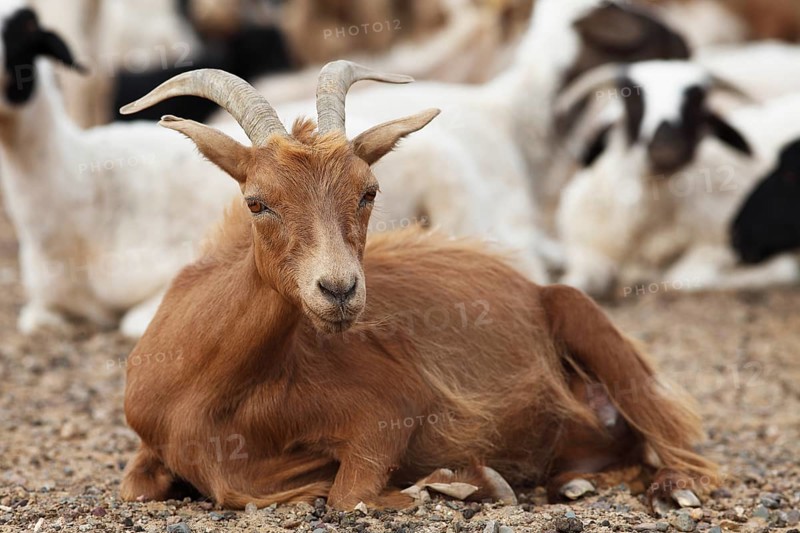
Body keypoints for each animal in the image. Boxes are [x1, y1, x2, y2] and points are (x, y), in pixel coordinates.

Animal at [119, 61, 716, 514]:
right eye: (256, 202)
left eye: (369, 192)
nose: (338, 290)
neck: (209, 394)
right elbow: (137, 488)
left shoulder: (389, 407)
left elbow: (349, 494)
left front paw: (458, 483)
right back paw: (570, 481)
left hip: (583, 318)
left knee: (680, 450)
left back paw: (672, 490)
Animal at [554, 61, 800, 297]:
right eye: (632, 98)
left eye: (696, 100)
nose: (667, 145)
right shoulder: (584, 247)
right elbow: (573, 282)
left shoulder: (725, 243)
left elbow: (680, 278)